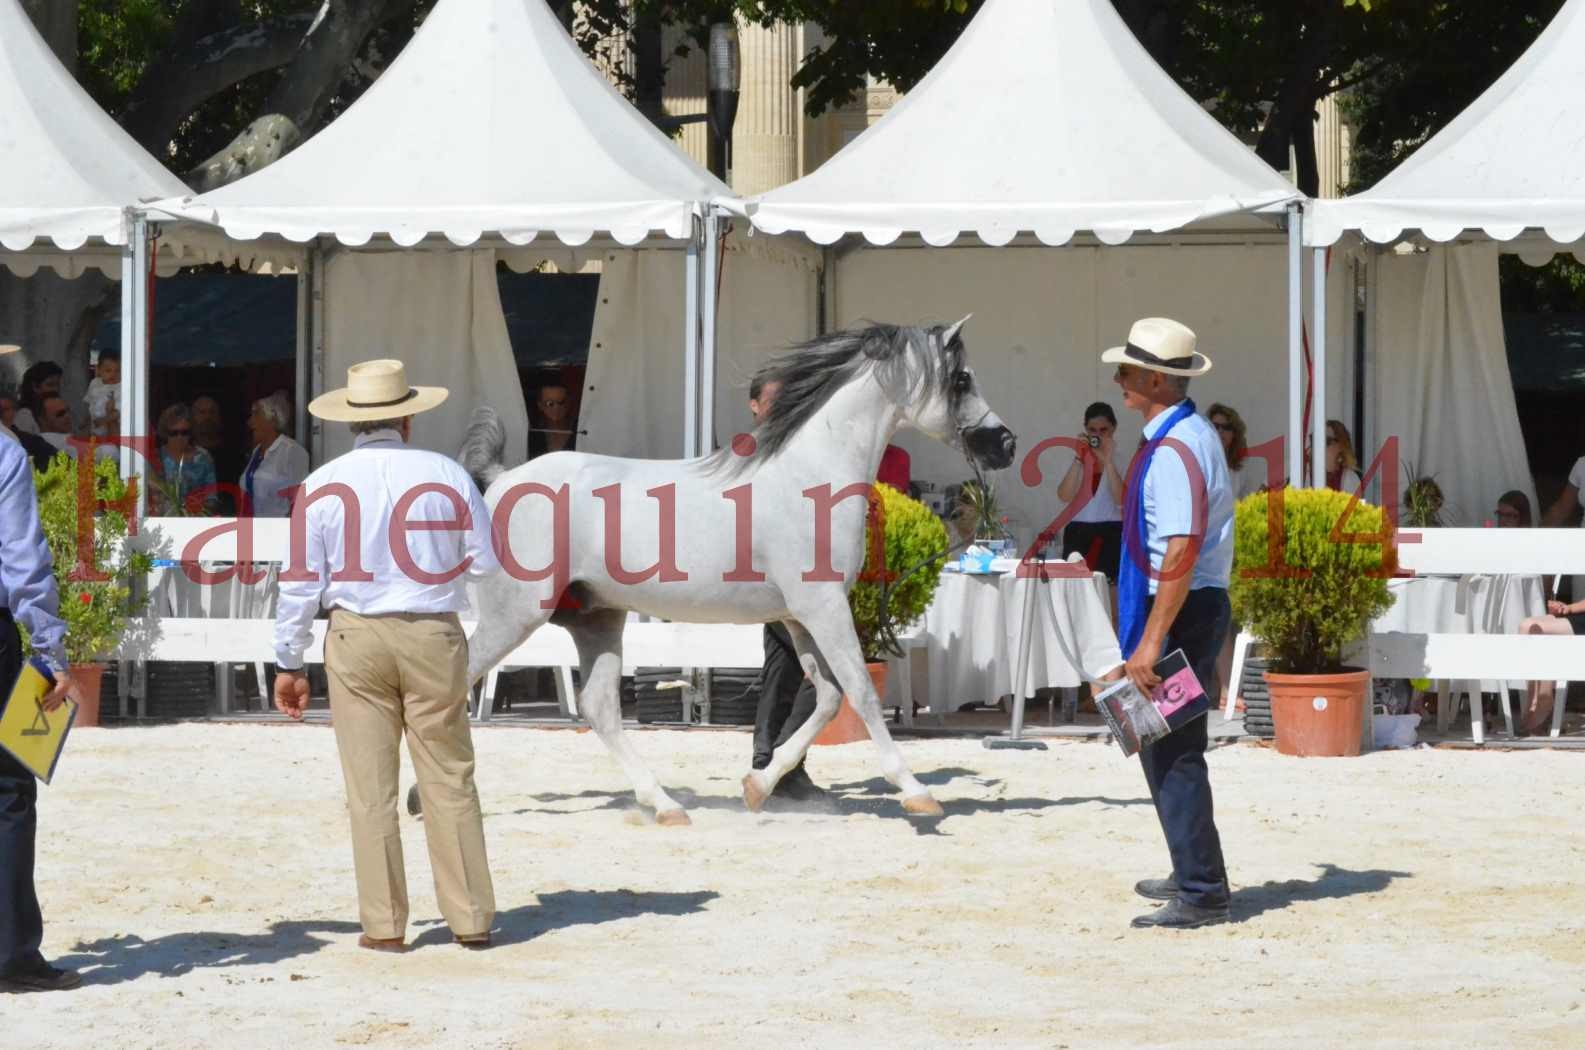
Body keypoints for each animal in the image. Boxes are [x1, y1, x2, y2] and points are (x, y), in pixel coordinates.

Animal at [456, 317, 1014, 824]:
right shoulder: (824, 608)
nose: (1005, 443)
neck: (809, 476)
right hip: (516, 616)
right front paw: (917, 792)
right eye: (961, 379)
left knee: (599, 709)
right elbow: (861, 691)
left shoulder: (799, 617)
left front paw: (758, 786)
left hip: (596, 617)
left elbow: (829, 699)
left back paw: (666, 806)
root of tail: (502, 479)